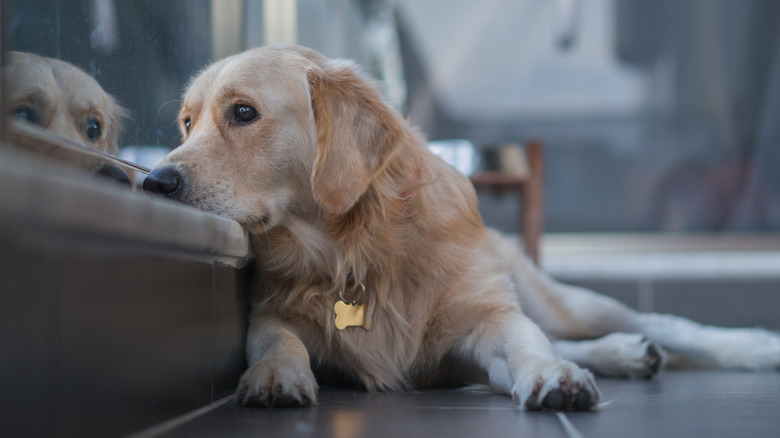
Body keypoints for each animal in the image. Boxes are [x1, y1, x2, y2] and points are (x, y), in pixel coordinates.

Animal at [143, 45, 780, 410]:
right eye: (187, 122)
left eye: (243, 113)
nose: (154, 182)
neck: (355, 249)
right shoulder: (271, 311)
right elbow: (279, 340)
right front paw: (275, 375)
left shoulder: (484, 319)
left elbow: (525, 342)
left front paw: (552, 374)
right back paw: (624, 354)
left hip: (556, 298)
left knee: (652, 322)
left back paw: (746, 346)